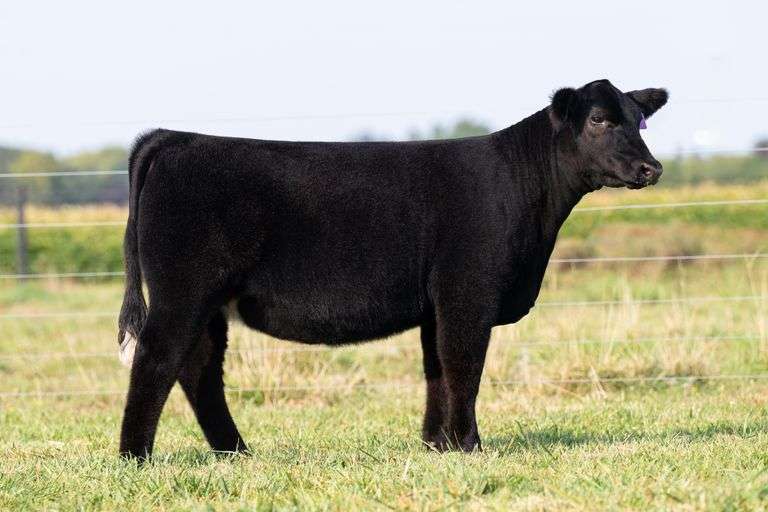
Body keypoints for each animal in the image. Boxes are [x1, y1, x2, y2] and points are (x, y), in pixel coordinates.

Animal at [117, 79, 668, 460]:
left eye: (639, 120)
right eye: (597, 119)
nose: (651, 168)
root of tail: (173, 138)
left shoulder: (436, 302)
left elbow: (437, 369)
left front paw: (438, 446)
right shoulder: (468, 291)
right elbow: (464, 364)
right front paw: (470, 445)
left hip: (208, 301)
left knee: (198, 368)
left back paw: (235, 453)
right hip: (184, 291)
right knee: (157, 359)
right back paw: (135, 457)